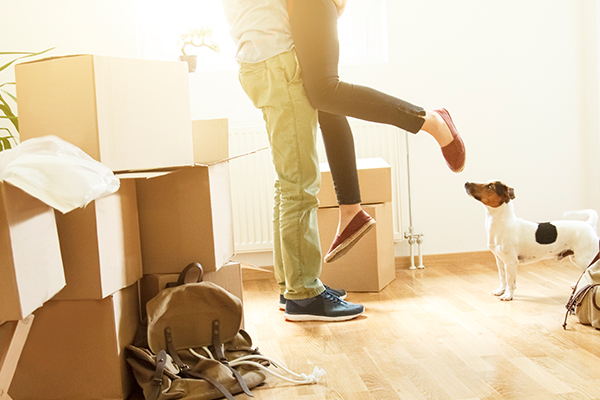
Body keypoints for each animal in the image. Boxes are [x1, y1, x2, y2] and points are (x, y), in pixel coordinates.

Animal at [466, 181, 596, 300]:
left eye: (489, 186)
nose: (466, 183)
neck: (502, 223)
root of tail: (589, 224)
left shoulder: (510, 262)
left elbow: (510, 281)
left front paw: (508, 295)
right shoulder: (500, 261)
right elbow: (503, 278)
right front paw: (501, 291)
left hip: (584, 259)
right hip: (576, 258)